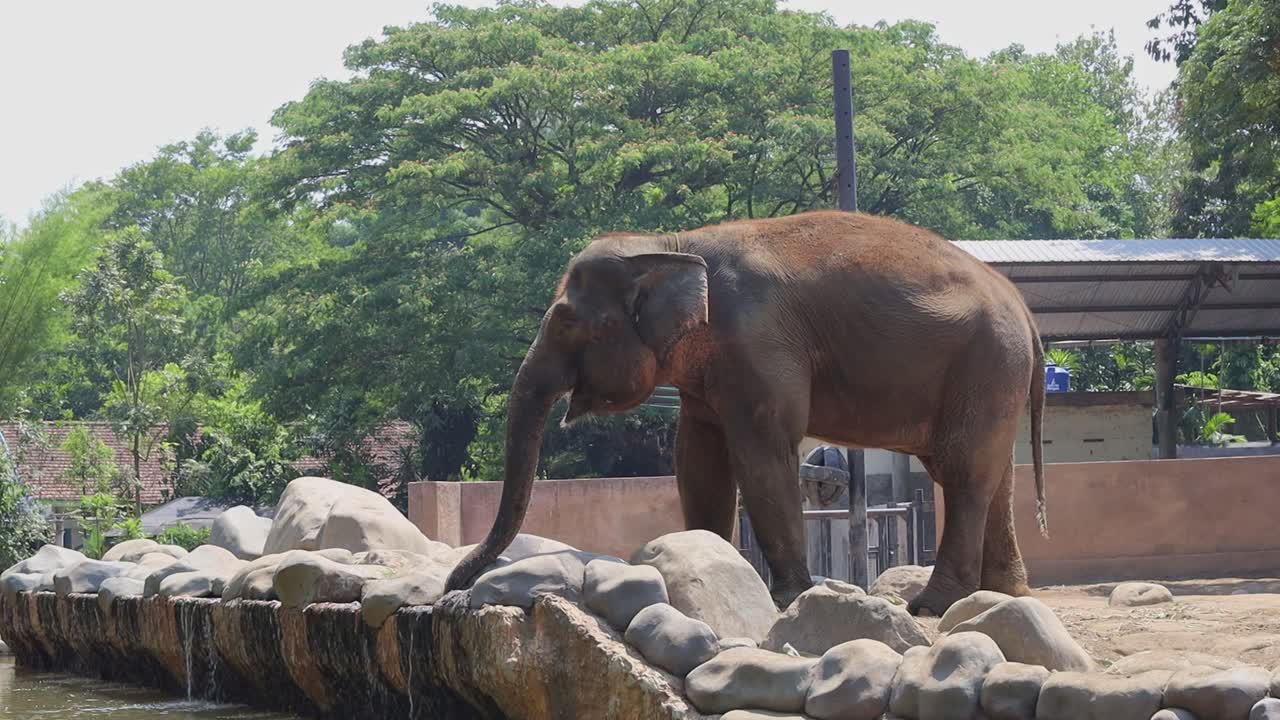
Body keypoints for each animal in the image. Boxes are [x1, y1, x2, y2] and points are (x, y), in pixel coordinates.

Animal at [445, 209, 1047, 616]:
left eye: (566, 321)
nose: (455, 588)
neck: (673, 244)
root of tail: (1023, 308)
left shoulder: (758, 343)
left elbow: (762, 453)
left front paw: (790, 598)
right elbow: (698, 459)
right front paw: (706, 559)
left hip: (985, 363)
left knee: (963, 474)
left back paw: (931, 606)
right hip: (995, 375)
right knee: (995, 477)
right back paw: (1004, 594)